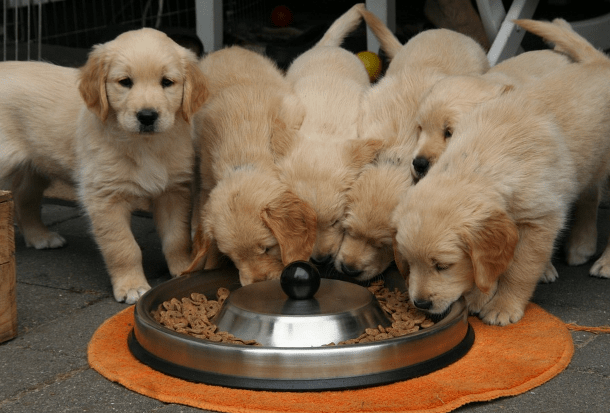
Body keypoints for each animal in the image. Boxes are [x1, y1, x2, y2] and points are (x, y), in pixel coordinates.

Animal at [0, 28, 208, 304]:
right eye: (125, 82)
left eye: (167, 82)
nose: (147, 116)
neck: (144, 145)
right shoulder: (104, 197)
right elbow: (123, 246)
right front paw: (131, 286)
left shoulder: (173, 191)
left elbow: (177, 237)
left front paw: (184, 269)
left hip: (36, 163)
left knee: (24, 195)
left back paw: (39, 236)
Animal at [184, 46, 316, 286]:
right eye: (231, 256)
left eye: (267, 248)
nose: (258, 282)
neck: (244, 158)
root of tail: (229, 48)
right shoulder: (206, 177)